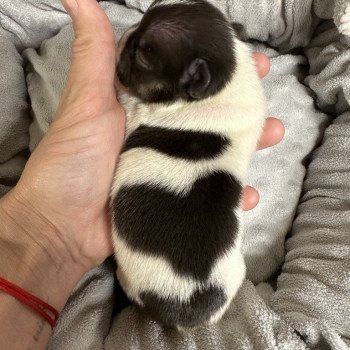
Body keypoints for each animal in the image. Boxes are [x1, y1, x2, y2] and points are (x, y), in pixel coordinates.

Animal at [110, 0, 266, 328]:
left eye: (142, 52)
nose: (126, 34)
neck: (224, 83)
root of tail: (186, 310)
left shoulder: (137, 111)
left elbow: (128, 101)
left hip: (131, 279)